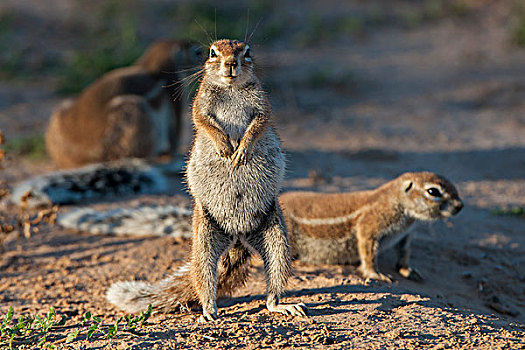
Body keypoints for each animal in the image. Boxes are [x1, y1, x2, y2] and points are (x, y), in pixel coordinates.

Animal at [45, 39, 201, 169]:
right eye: (197, 52)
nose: (203, 56)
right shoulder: (175, 90)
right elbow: (175, 127)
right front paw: (175, 152)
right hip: (134, 111)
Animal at [106, 39, 308, 322]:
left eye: (246, 52)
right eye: (212, 52)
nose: (231, 63)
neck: (231, 88)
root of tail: (238, 236)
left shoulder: (262, 105)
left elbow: (259, 123)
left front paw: (242, 149)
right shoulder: (199, 105)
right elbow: (203, 121)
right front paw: (224, 146)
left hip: (276, 238)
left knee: (274, 284)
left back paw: (281, 305)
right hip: (203, 240)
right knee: (204, 277)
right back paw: (208, 310)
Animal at [280, 171, 460, 284]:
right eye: (433, 191)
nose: (461, 206)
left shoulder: (404, 235)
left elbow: (404, 251)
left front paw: (407, 270)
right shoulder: (371, 223)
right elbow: (368, 250)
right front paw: (375, 274)